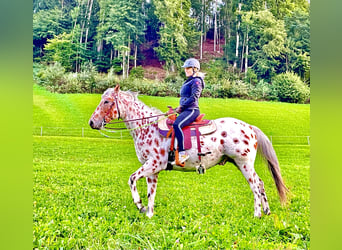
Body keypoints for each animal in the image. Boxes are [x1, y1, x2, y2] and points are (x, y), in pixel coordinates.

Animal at [89, 85, 288, 218]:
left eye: (106, 101)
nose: (92, 122)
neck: (148, 127)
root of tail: (250, 127)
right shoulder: (152, 170)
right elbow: (151, 193)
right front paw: (149, 214)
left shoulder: (153, 164)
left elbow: (132, 180)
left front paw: (140, 206)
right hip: (242, 164)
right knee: (260, 183)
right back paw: (266, 211)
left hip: (244, 164)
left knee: (255, 186)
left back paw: (257, 214)